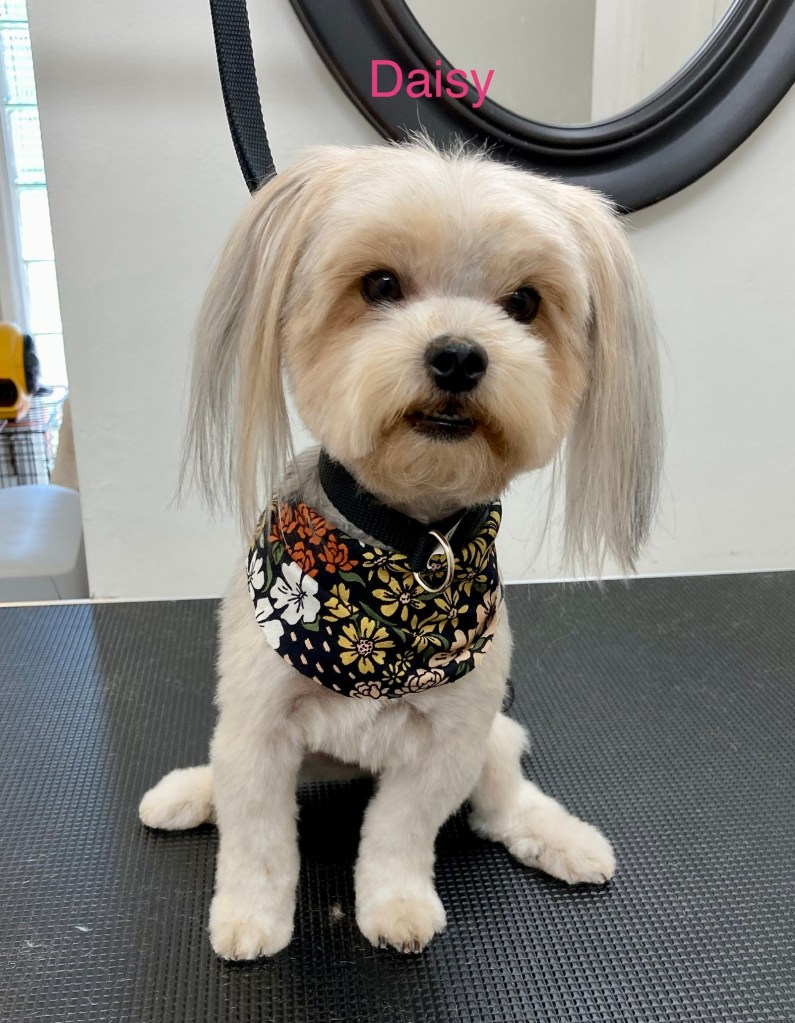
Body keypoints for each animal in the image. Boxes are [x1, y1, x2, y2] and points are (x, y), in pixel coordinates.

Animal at [139, 139, 662, 960]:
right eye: (380, 285)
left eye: (524, 303)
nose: (458, 356)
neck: (406, 552)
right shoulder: (259, 724)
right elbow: (258, 835)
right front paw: (250, 914)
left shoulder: (451, 738)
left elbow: (399, 831)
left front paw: (397, 905)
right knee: (223, 776)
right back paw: (189, 791)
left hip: (491, 738)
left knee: (501, 802)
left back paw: (562, 838)